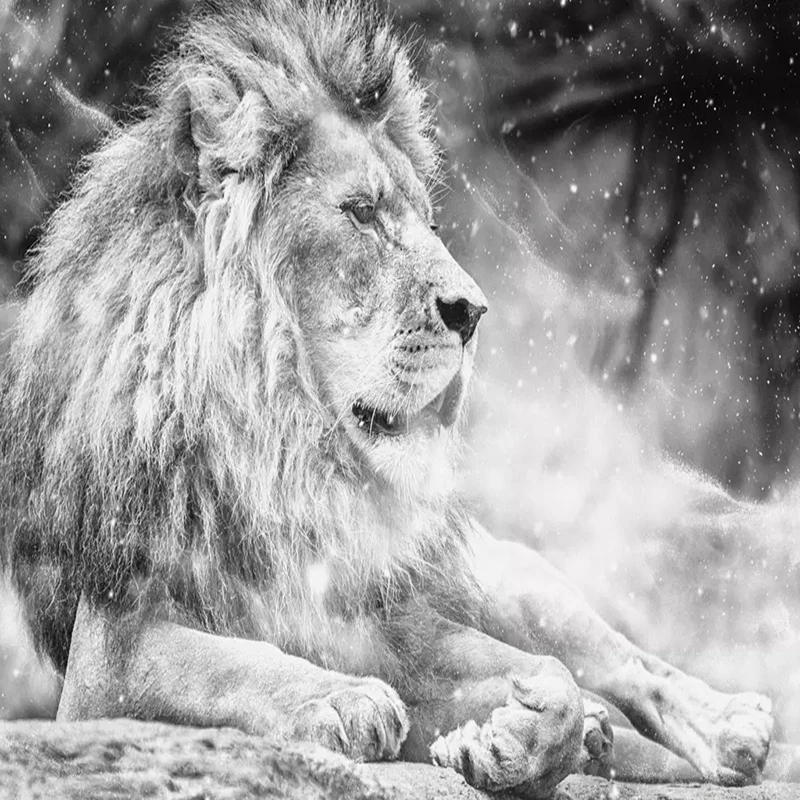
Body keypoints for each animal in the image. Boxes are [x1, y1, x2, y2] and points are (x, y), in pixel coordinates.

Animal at [0, 1, 774, 796]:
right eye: (362, 213)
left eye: (429, 224)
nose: (474, 311)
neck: (286, 456)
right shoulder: (110, 652)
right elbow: (222, 665)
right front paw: (346, 701)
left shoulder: (398, 623)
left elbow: (550, 673)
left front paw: (517, 738)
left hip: (511, 580)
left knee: (626, 665)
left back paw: (729, 726)